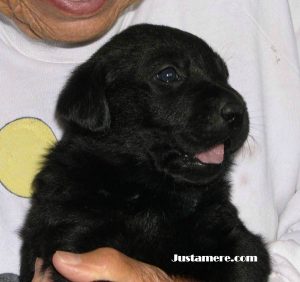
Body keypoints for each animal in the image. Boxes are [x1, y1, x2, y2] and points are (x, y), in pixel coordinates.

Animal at [19, 24, 270, 282]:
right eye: (168, 74)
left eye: (224, 75)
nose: (237, 112)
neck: (151, 195)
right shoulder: (75, 235)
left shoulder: (234, 236)